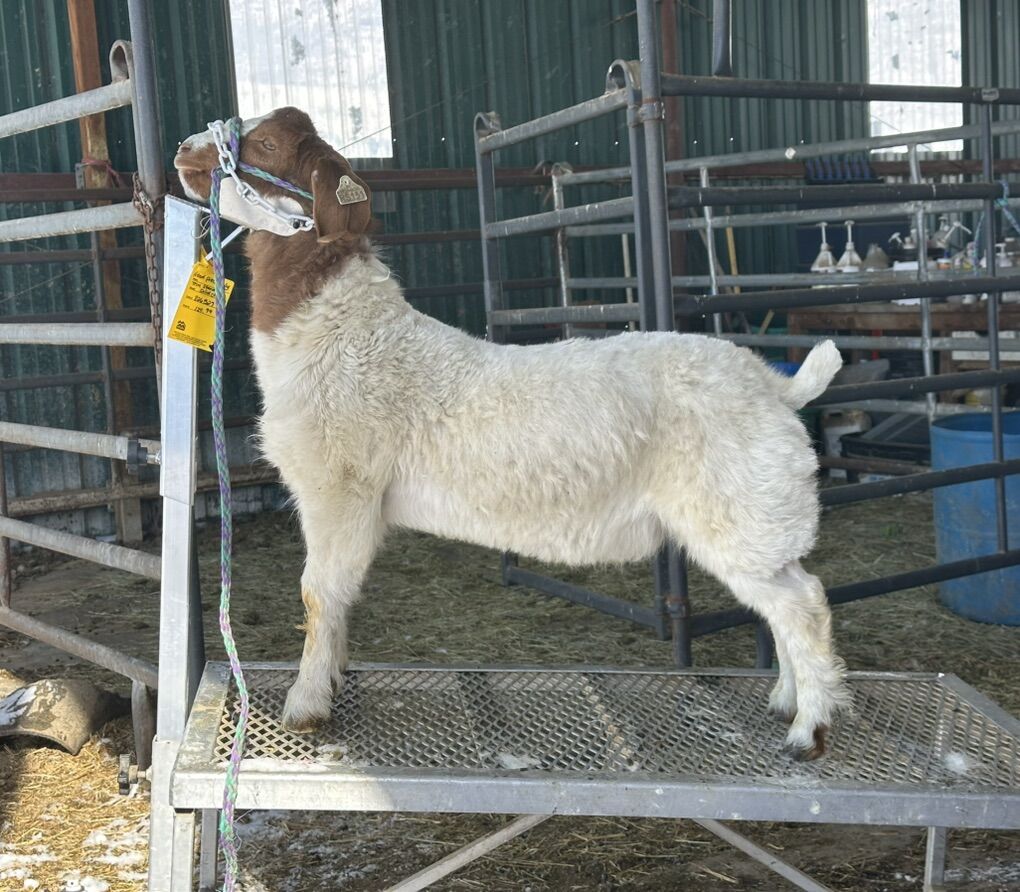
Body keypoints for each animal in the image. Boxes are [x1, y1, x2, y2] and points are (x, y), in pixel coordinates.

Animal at [175, 107, 849, 760]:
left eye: (265, 144)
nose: (183, 150)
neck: (343, 332)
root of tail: (777, 387)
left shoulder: (338, 488)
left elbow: (320, 594)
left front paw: (306, 704)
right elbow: (336, 599)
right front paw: (335, 678)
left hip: (736, 508)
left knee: (804, 603)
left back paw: (808, 731)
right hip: (756, 517)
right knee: (790, 595)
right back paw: (786, 701)